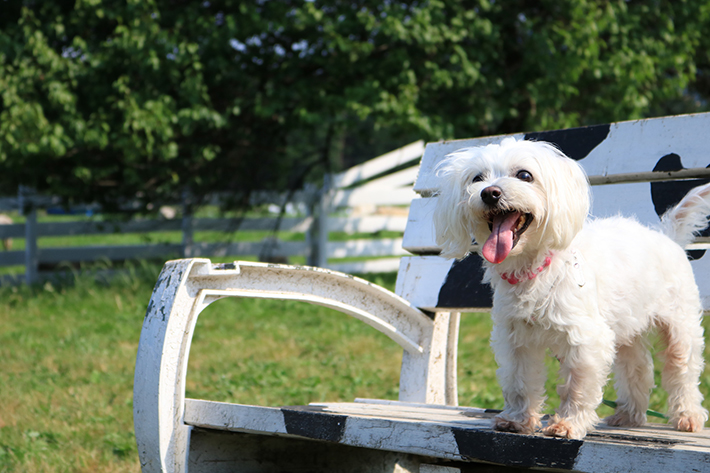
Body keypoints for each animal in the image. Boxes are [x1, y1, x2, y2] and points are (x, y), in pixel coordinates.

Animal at [434, 137, 710, 438]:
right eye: (477, 178)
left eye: (524, 175)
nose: (489, 193)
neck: (535, 270)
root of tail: (666, 235)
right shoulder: (515, 339)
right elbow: (519, 382)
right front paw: (517, 419)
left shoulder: (585, 340)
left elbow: (577, 386)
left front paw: (567, 423)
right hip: (627, 329)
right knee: (637, 369)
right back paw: (629, 415)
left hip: (680, 327)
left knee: (682, 372)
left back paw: (688, 415)